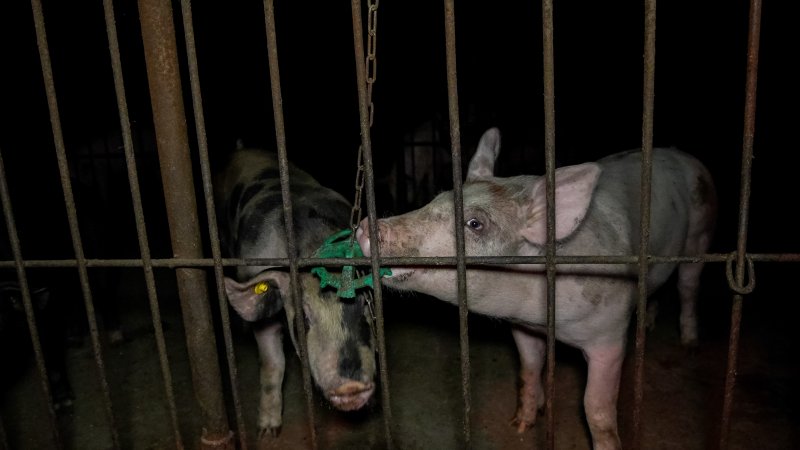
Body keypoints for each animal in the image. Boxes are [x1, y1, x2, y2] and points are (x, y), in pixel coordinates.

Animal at [356, 127, 712, 450]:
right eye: (434, 200)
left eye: (475, 224)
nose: (365, 227)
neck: (546, 317)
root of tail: (681, 154)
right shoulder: (523, 326)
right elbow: (528, 369)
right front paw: (521, 424)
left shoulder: (609, 333)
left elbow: (595, 408)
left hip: (701, 232)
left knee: (688, 287)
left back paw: (690, 346)